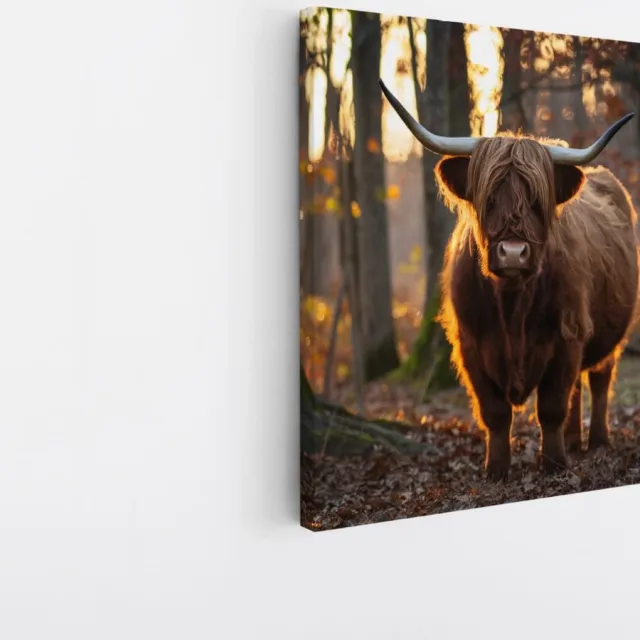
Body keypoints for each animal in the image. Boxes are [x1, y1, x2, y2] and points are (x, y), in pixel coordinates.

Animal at [379, 78, 640, 481]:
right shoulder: (471, 345)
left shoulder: (565, 337)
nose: (514, 253)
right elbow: (496, 412)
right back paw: (575, 440)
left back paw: (596, 440)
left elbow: (551, 406)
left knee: (598, 380)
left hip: (604, 333)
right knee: (578, 388)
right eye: (488, 197)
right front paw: (497, 469)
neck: (513, 303)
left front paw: (553, 464)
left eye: (536, 201)